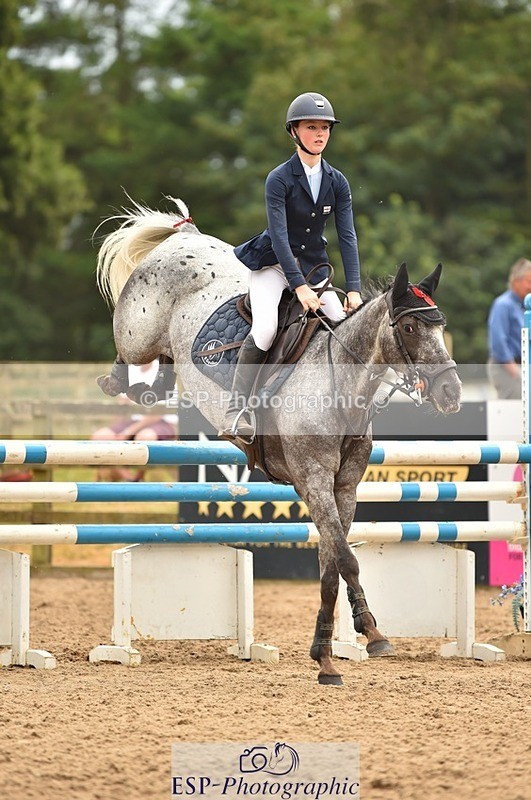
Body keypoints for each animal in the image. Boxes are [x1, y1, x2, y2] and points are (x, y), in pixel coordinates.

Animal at [96, 196, 462, 685]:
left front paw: (333, 649)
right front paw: (362, 639)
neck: (339, 384)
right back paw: (120, 381)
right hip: (138, 332)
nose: (451, 393)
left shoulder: (343, 487)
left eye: (440, 327)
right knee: (127, 352)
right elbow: (345, 560)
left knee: (166, 361)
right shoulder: (313, 481)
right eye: (408, 330)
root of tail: (185, 238)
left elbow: (331, 563)